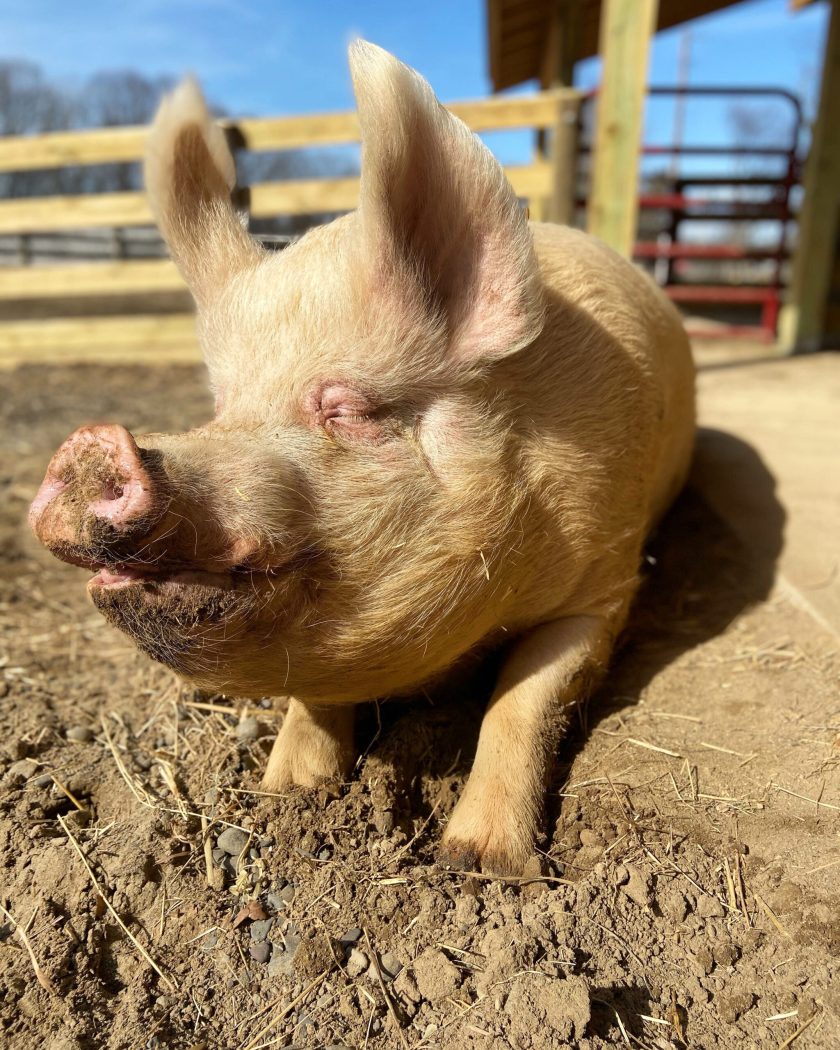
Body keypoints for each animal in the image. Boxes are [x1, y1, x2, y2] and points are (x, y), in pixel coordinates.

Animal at [29, 42, 695, 875]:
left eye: (346, 410)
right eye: (223, 407)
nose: (89, 448)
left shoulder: (606, 580)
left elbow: (521, 699)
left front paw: (479, 863)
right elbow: (315, 695)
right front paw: (288, 793)